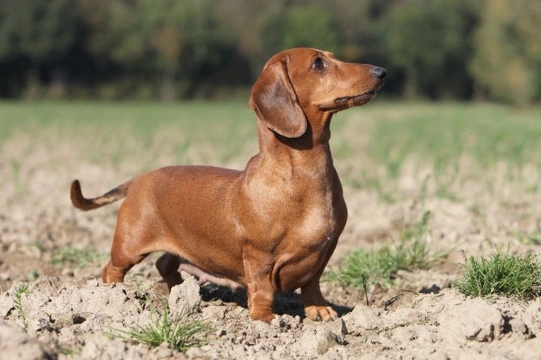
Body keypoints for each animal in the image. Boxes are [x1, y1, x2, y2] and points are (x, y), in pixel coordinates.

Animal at [70, 47, 384, 320]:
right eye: (318, 63)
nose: (381, 71)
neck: (303, 177)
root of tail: (138, 178)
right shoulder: (259, 257)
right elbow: (262, 290)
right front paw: (265, 319)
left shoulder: (325, 250)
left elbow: (312, 284)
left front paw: (318, 309)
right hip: (129, 244)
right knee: (112, 268)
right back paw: (114, 295)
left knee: (164, 263)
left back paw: (178, 292)